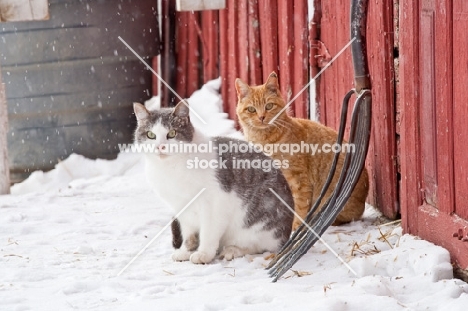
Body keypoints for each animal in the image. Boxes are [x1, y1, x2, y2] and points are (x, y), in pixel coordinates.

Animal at [132, 101, 292, 264]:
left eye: (172, 133)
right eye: (150, 135)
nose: (160, 146)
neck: (171, 168)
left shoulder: (215, 203)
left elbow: (208, 232)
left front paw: (204, 254)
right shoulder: (181, 207)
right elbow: (188, 233)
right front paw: (185, 251)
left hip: (259, 223)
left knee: (259, 246)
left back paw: (233, 250)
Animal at [236, 72, 368, 230]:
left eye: (269, 106)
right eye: (251, 109)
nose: (261, 117)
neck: (262, 139)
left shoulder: (298, 179)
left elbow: (298, 207)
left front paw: (294, 226)